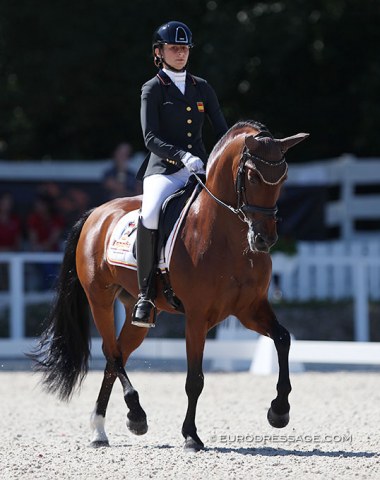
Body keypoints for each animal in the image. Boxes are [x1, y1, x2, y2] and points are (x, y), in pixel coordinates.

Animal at [32, 120, 308, 450]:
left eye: (284, 177)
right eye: (253, 176)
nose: (264, 239)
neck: (228, 235)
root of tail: (96, 213)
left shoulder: (249, 309)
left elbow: (283, 339)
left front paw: (279, 411)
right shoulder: (197, 317)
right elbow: (195, 379)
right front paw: (190, 435)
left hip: (139, 313)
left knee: (117, 354)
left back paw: (101, 428)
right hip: (99, 299)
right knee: (111, 352)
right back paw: (135, 415)